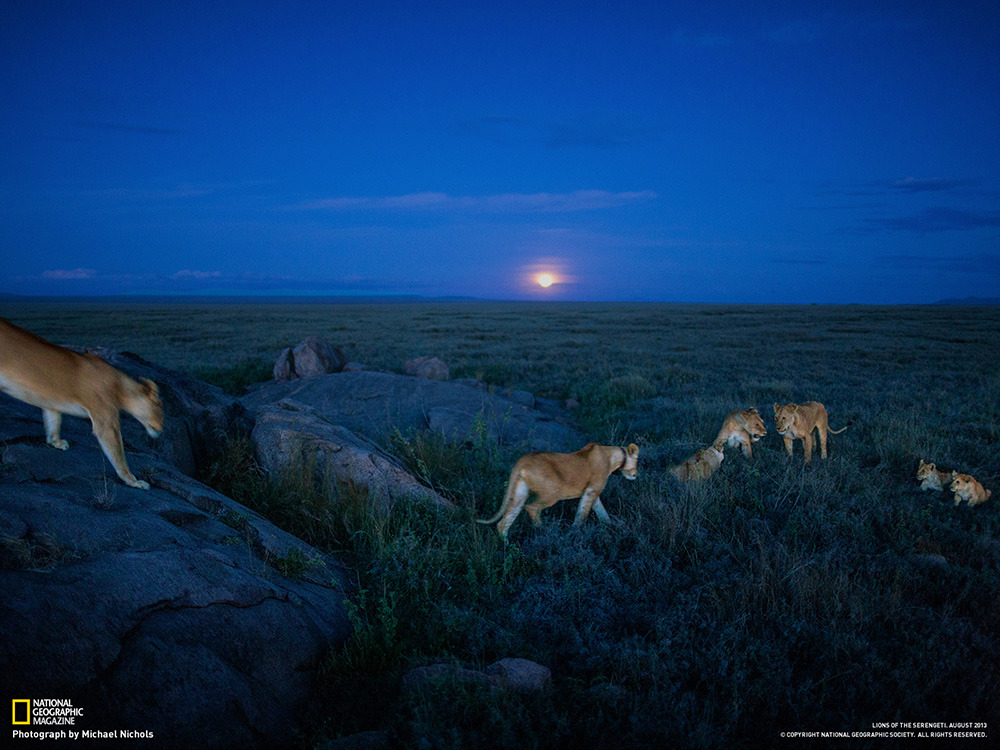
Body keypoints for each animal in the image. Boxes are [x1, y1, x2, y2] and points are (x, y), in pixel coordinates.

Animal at [0, 318, 163, 490]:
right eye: (160, 409)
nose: (161, 430)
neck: (120, 385)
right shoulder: (105, 422)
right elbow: (118, 454)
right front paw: (134, 481)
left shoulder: (52, 403)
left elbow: (53, 423)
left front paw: (57, 443)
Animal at [478, 444, 640, 544]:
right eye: (638, 460)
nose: (636, 474)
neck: (614, 456)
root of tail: (522, 461)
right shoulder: (591, 491)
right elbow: (582, 513)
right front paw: (574, 533)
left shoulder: (594, 493)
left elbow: (602, 512)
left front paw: (611, 527)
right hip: (553, 491)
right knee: (531, 507)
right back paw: (543, 531)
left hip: (520, 493)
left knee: (504, 521)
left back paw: (507, 546)